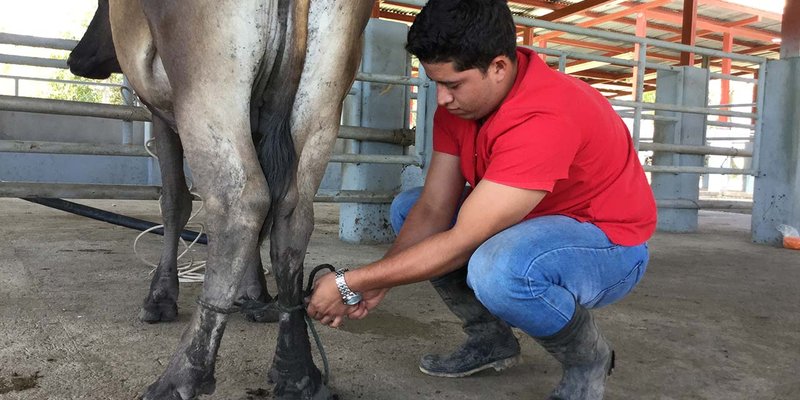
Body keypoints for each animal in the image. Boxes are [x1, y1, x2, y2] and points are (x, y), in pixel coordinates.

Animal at [69, 0, 376, 400]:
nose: (76, 57)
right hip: (322, 102)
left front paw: (160, 298)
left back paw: (182, 376)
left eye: (100, 7)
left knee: (240, 203)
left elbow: (175, 201)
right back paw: (297, 372)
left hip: (208, 85)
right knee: (291, 214)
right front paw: (255, 295)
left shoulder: (161, 113)